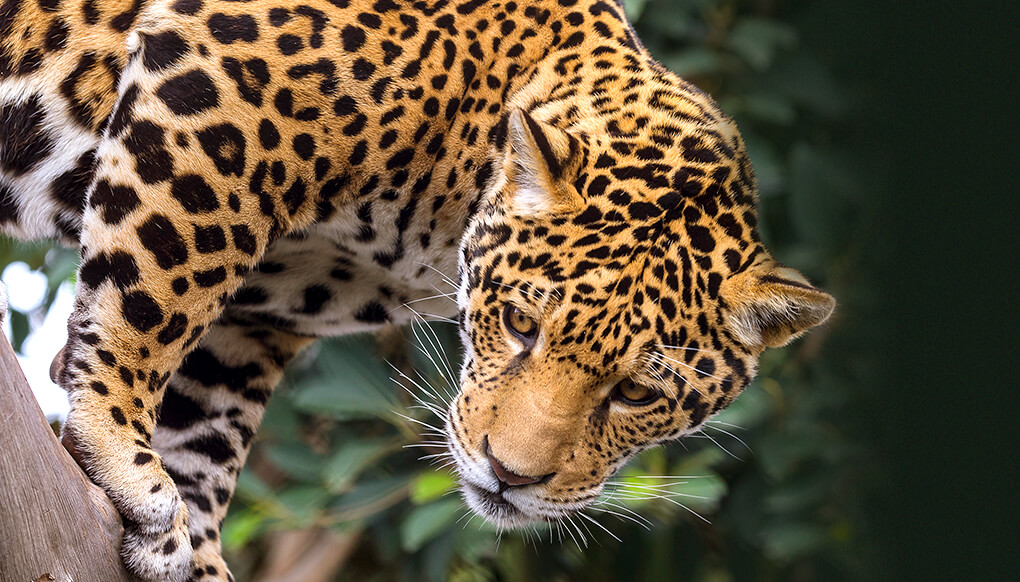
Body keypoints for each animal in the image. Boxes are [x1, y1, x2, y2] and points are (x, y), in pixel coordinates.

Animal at [0, 0, 836, 578]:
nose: (510, 478)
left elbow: (206, 426)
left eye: (636, 393)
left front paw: (191, 544)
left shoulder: (261, 313)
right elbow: (158, 285)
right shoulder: (220, 86)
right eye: (522, 326)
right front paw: (116, 445)